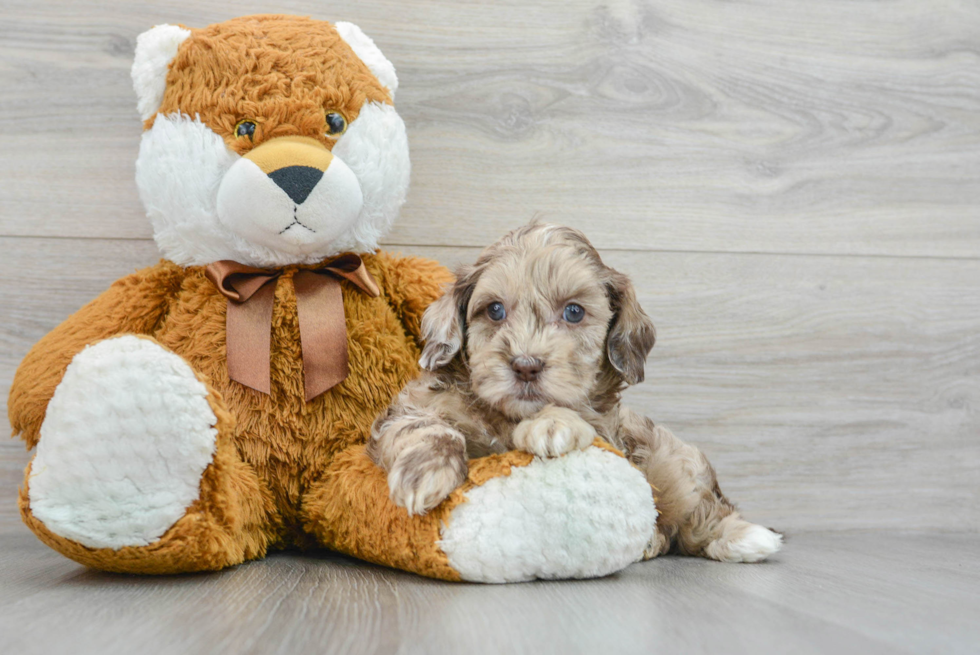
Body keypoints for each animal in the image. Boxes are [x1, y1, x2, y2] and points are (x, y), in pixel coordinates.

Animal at [368, 224, 780, 564]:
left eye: (574, 312)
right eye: (495, 310)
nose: (526, 365)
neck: (508, 417)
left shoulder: (609, 432)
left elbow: (576, 416)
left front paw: (552, 425)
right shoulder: (411, 407)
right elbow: (424, 427)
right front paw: (425, 473)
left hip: (675, 460)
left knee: (699, 514)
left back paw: (745, 538)